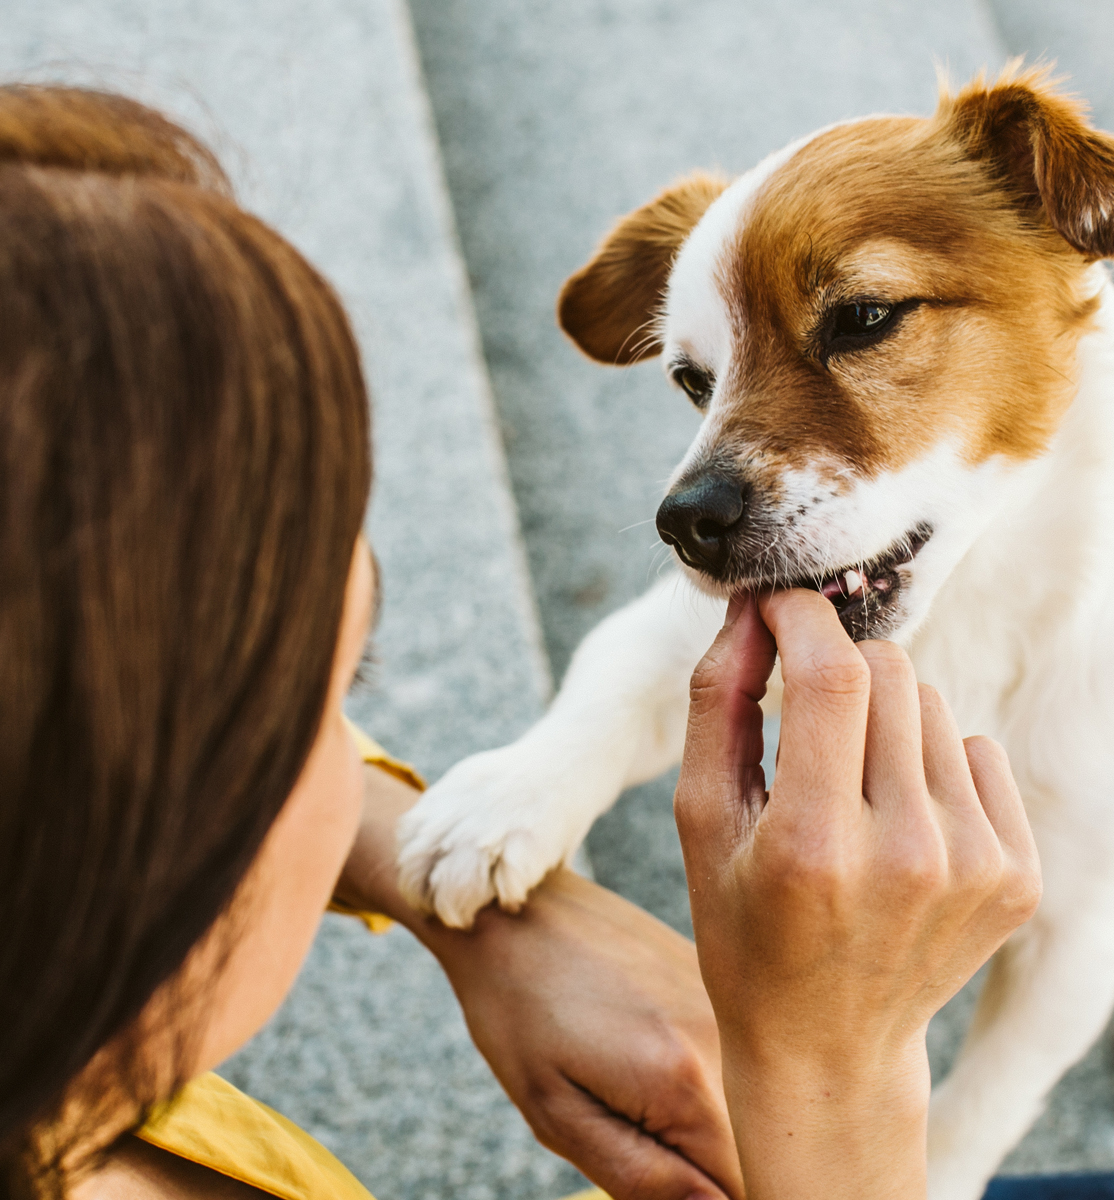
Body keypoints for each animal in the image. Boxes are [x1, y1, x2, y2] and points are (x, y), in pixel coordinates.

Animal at [396, 68, 1114, 1200]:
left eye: (863, 318)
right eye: (693, 379)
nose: (684, 520)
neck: (966, 610)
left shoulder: (1080, 929)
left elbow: (981, 1104)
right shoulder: (693, 630)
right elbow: (611, 679)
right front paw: (501, 802)